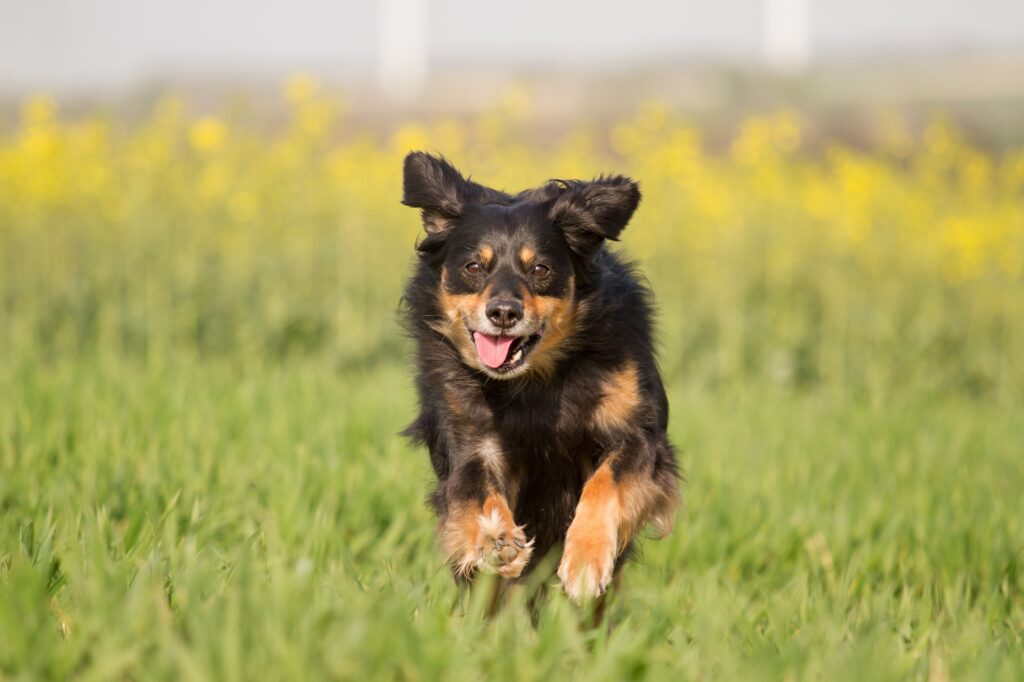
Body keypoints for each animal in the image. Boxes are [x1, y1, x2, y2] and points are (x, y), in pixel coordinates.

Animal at [399, 150, 679, 602]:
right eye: (473, 266)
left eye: (541, 270)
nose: (503, 313)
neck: (534, 380)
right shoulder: (471, 441)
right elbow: (477, 489)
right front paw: (497, 540)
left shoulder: (640, 437)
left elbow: (605, 483)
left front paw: (585, 560)